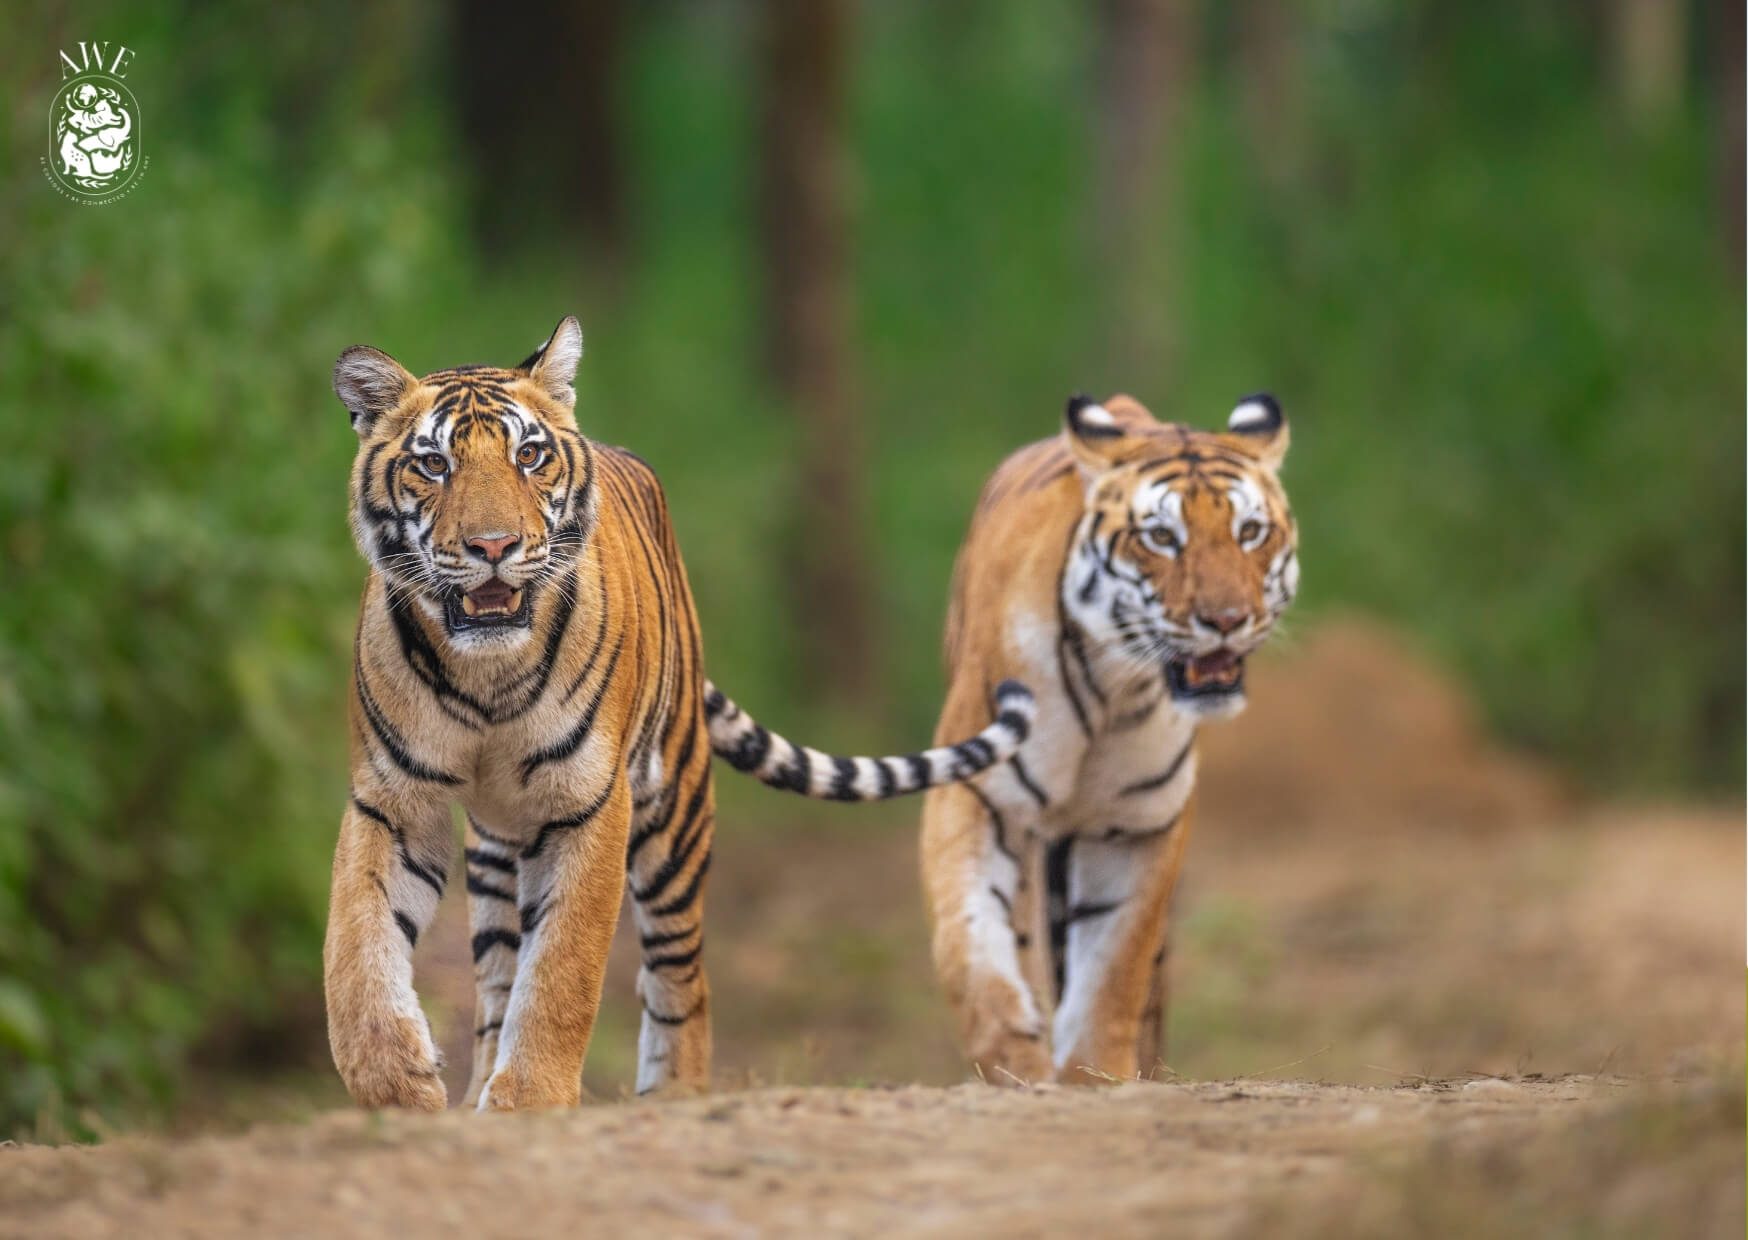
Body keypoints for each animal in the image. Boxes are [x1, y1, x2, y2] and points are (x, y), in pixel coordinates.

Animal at [323, 316, 1035, 1112]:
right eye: (434, 464)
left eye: (529, 456)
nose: (494, 546)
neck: (487, 676)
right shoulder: (392, 800)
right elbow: (356, 943)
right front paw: (396, 1083)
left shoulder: (589, 804)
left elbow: (562, 972)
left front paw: (530, 1099)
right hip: (497, 849)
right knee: (498, 977)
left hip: (675, 816)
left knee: (680, 978)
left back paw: (672, 1096)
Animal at [919, 391, 1297, 1084]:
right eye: (1162, 538)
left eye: (1249, 532)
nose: (1227, 620)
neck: (1110, 690)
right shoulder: (976, 790)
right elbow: (971, 936)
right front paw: (1011, 1059)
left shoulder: (1140, 821)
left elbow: (1114, 964)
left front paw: (1094, 1075)